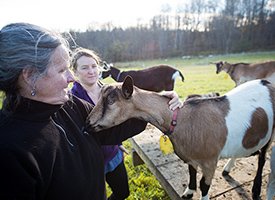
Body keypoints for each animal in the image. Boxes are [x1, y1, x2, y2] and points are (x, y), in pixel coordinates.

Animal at [88, 76, 275, 200]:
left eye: (111, 100)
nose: (87, 124)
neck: (182, 119)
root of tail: (267, 84)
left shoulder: (210, 161)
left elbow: (204, 185)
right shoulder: (190, 156)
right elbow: (191, 172)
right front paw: (189, 192)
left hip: (271, 132)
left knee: (262, 158)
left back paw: (256, 189)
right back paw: (228, 168)